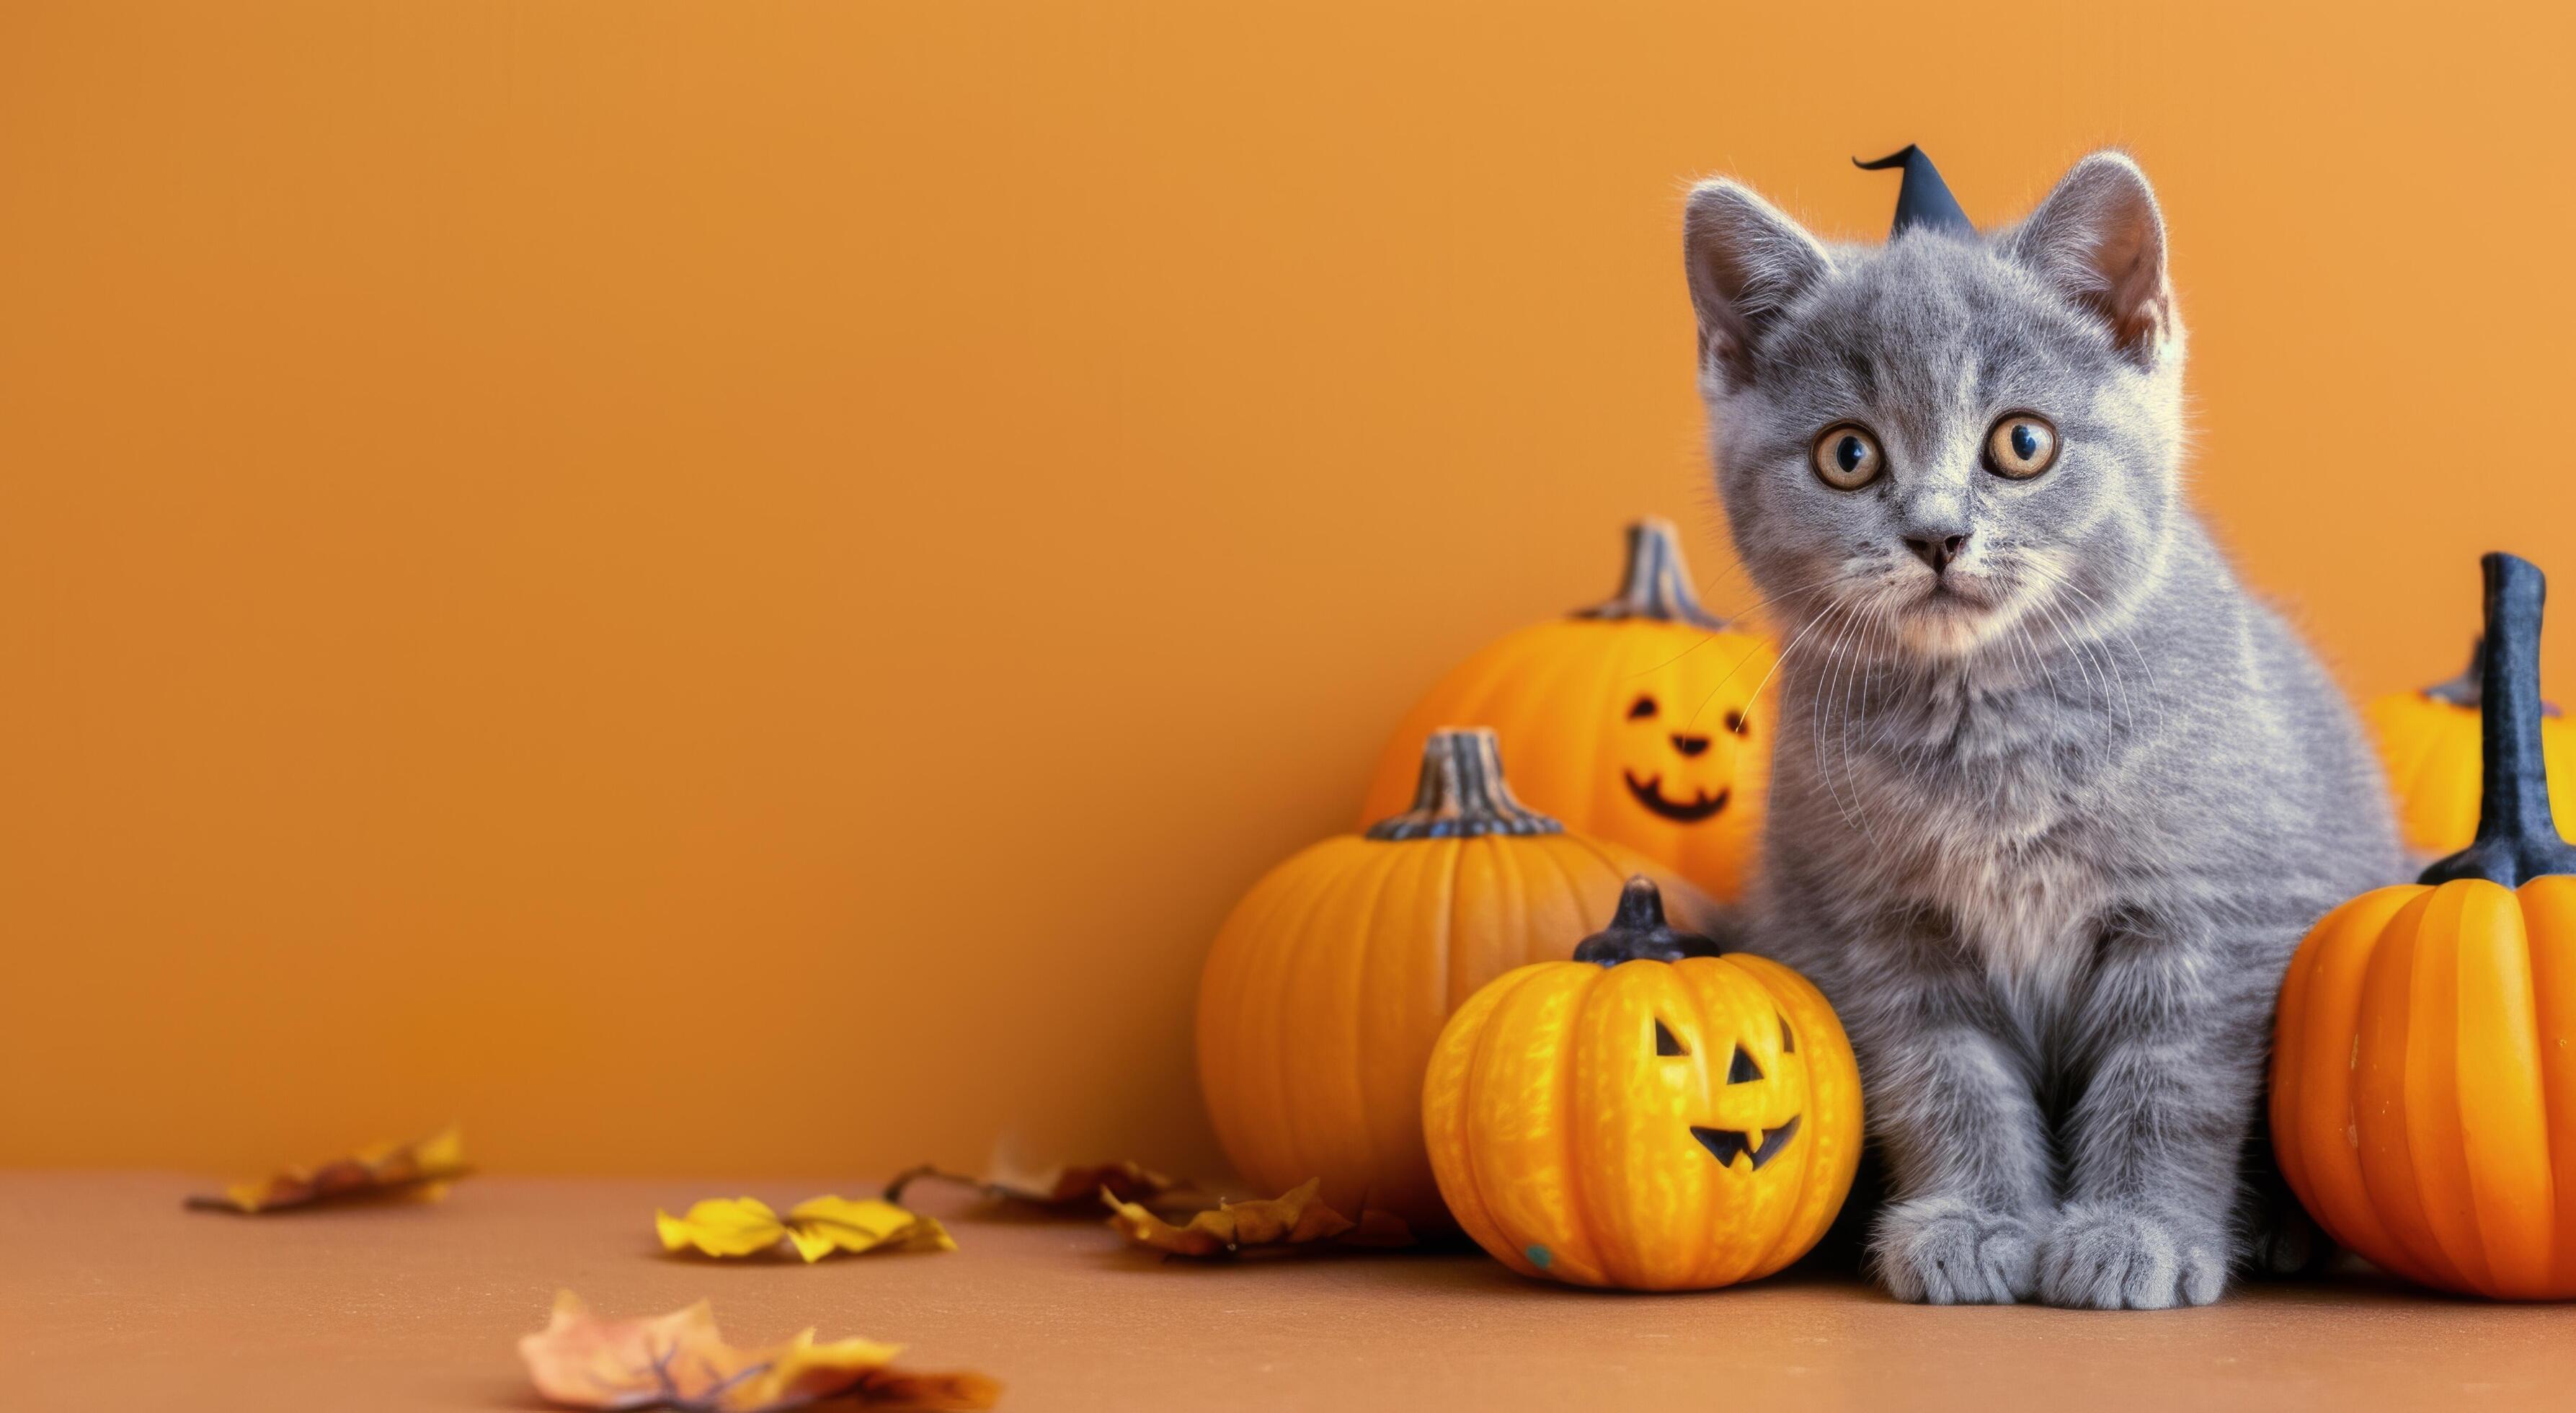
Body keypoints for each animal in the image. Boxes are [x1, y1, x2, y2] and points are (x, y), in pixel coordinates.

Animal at [1679, 149, 2400, 1309]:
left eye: (2021, 443)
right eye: (1847, 456)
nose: (1936, 536)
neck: (1989, 722)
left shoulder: (2204, 921)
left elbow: (2167, 1084)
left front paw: (2134, 1234)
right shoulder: (1881, 931)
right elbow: (1944, 1078)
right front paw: (1972, 1223)